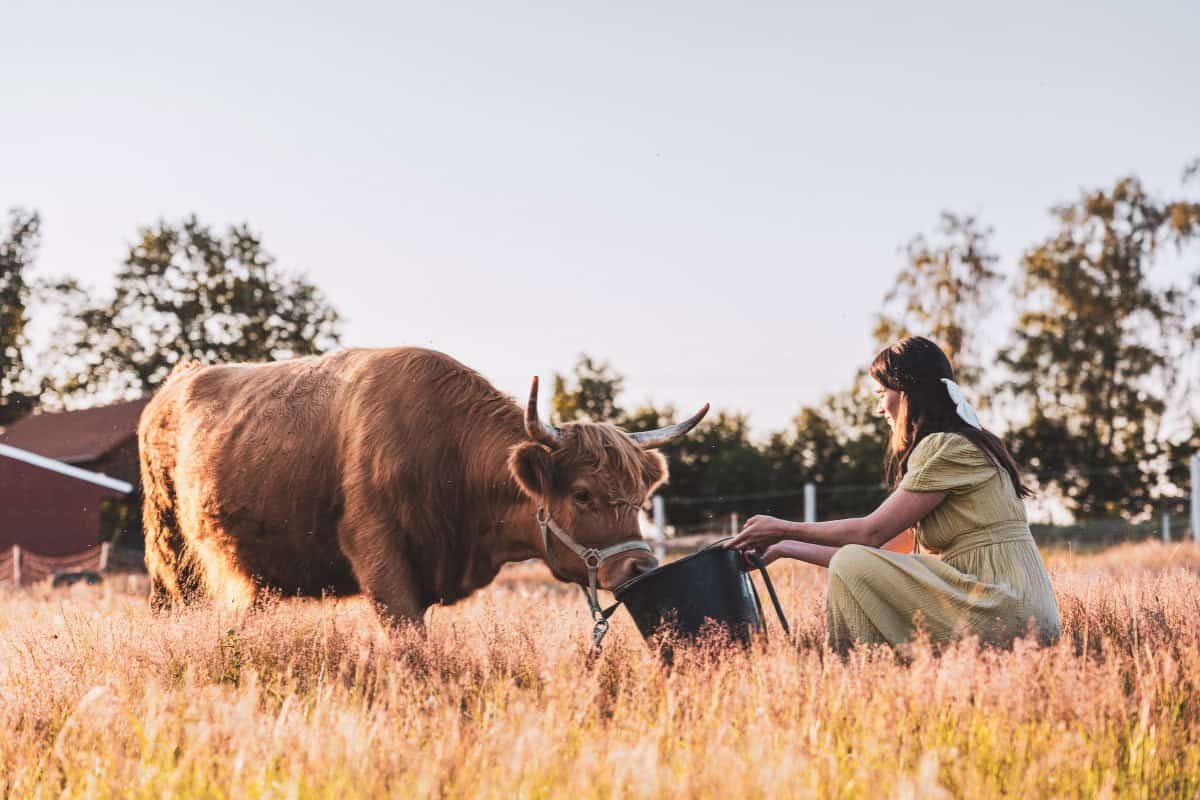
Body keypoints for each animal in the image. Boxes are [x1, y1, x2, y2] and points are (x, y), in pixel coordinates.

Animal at [137, 347, 708, 626]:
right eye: (583, 494)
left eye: (639, 498)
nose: (641, 568)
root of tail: (175, 384)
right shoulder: (380, 558)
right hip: (171, 556)